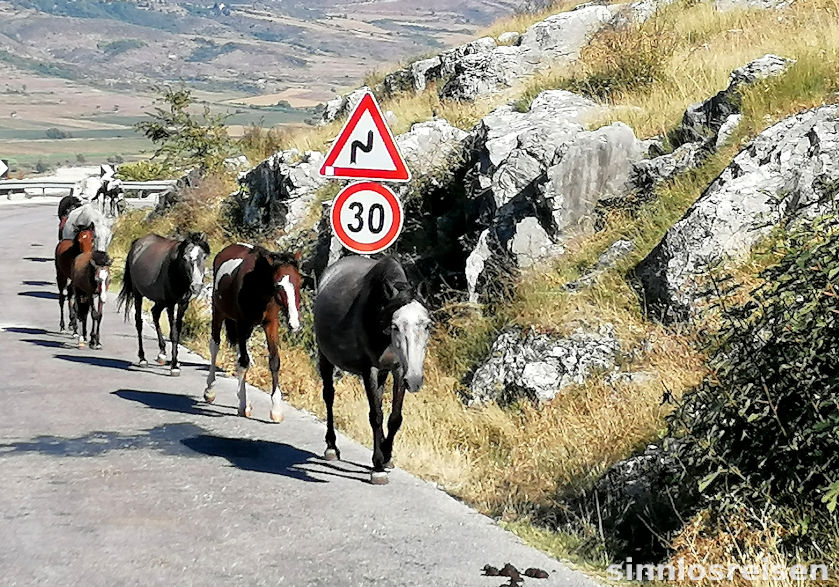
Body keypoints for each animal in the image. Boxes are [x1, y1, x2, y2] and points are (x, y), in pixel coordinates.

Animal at [117, 233, 210, 376]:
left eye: (204, 257)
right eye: (185, 258)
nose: (196, 286)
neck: (176, 271)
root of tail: (137, 244)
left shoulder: (183, 304)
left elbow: (177, 330)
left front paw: (175, 362)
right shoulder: (170, 304)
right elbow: (173, 333)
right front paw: (174, 366)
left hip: (160, 300)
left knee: (155, 313)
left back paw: (162, 354)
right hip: (138, 295)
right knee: (139, 323)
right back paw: (142, 358)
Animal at [204, 244, 302, 422]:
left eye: (299, 282)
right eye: (278, 285)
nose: (295, 324)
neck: (257, 287)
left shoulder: (271, 324)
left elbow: (274, 361)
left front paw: (276, 410)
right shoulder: (242, 323)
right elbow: (243, 363)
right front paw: (243, 404)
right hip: (219, 312)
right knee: (215, 346)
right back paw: (210, 390)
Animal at [313, 255, 431, 485]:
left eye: (427, 325)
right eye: (395, 326)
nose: (415, 381)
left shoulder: (398, 370)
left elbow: (394, 417)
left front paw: (387, 455)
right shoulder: (371, 370)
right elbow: (376, 415)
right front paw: (377, 466)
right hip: (325, 357)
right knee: (329, 396)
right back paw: (331, 447)